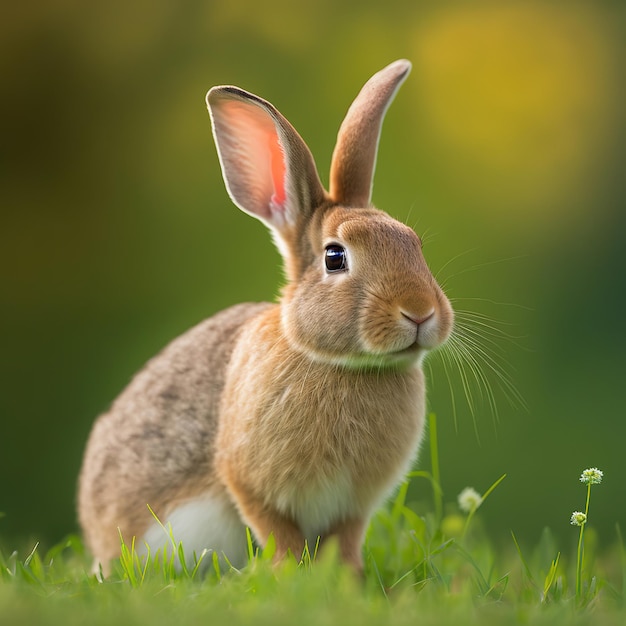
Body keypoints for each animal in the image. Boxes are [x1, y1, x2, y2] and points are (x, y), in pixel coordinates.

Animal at [78, 59, 450, 576]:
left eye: (413, 243)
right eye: (335, 257)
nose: (420, 312)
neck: (334, 361)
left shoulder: (352, 508)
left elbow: (345, 543)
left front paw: (347, 580)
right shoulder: (249, 483)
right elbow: (278, 533)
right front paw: (295, 576)